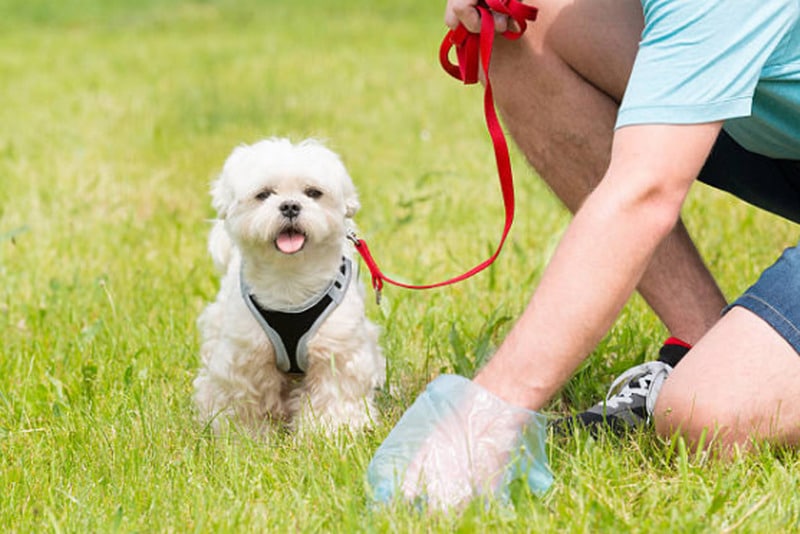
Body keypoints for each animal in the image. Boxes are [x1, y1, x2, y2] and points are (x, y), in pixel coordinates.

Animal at [191, 138, 384, 436]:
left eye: (313, 193)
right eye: (264, 195)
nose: (290, 205)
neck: (290, 280)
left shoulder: (336, 349)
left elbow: (333, 394)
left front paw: (330, 432)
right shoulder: (247, 355)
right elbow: (247, 398)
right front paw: (247, 436)